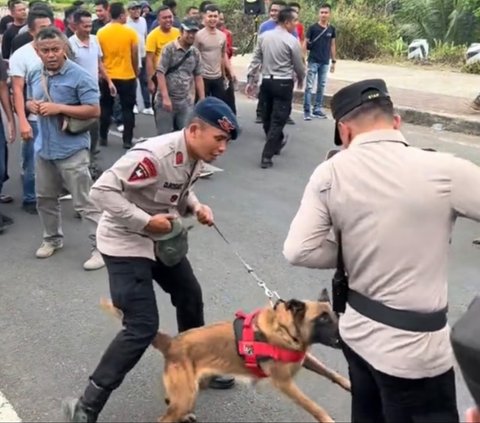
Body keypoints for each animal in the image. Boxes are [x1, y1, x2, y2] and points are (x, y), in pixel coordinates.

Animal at [100, 290, 348, 422]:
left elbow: (331, 373)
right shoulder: (284, 383)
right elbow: (313, 405)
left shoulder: (304, 359)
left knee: (172, 404)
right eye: (322, 319)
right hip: (186, 394)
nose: (345, 338)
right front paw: (327, 419)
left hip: (189, 391)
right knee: (165, 417)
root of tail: (171, 342)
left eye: (335, 315)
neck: (285, 329)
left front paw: (348, 384)